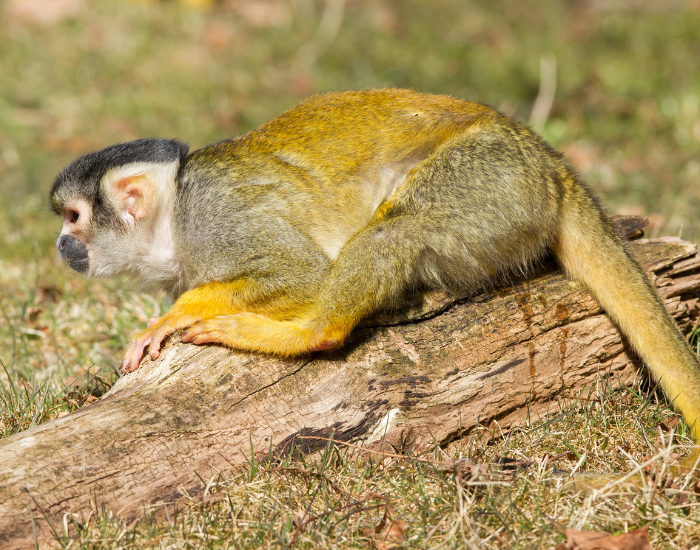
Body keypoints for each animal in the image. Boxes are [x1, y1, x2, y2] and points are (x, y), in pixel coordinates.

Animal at [50, 88, 700, 466]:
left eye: (74, 218)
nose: (61, 244)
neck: (175, 219)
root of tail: (549, 161)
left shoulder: (218, 218)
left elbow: (303, 275)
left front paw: (179, 314)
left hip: (491, 177)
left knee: (394, 232)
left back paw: (307, 333)